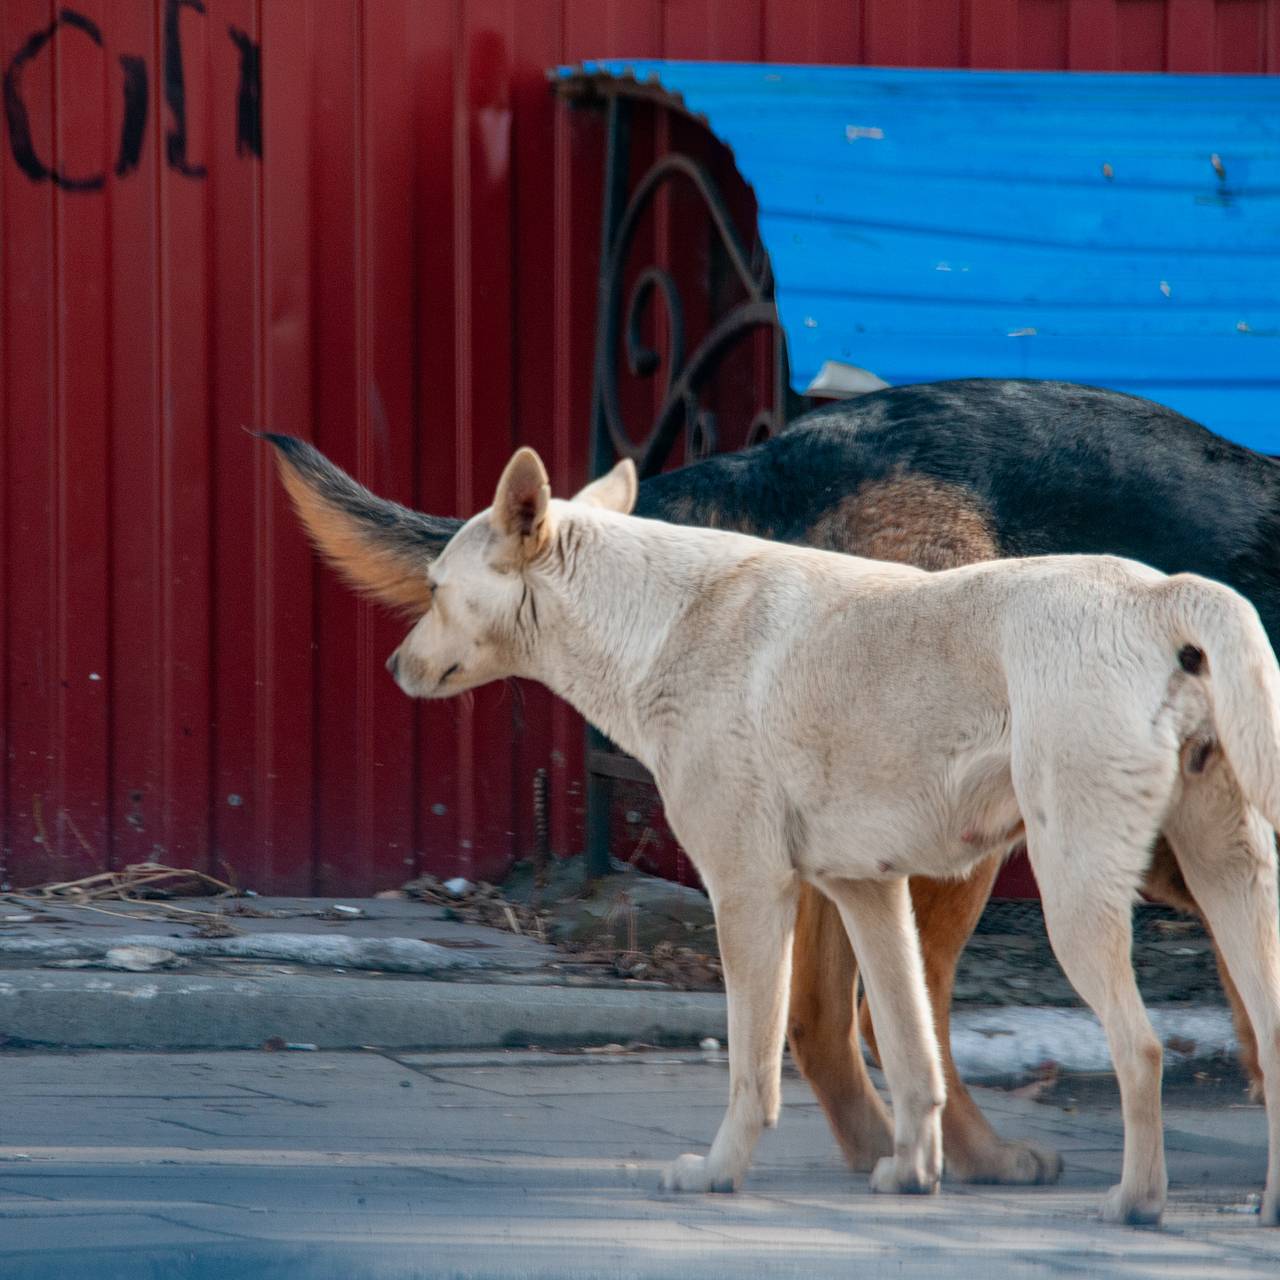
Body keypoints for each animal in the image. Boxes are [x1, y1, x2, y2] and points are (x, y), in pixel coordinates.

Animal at [272, 442, 1280, 1228]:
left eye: (437, 590)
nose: (393, 667)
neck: (654, 621)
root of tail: (1163, 593)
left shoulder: (751, 893)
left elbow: (752, 1068)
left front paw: (719, 1174)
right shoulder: (868, 894)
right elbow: (911, 1056)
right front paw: (911, 1178)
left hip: (1068, 895)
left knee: (1140, 1049)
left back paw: (1136, 1204)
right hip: (1220, 883)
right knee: (1263, 1038)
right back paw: (1258, 1208)